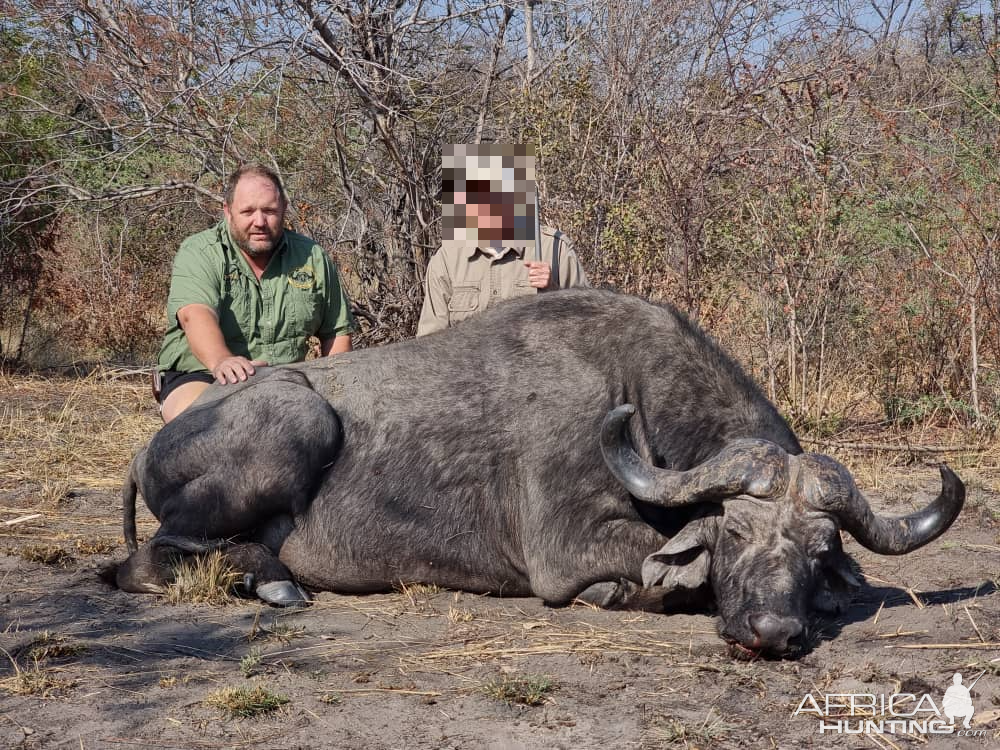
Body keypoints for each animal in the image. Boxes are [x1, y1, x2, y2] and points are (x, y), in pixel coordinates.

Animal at [115, 288, 960, 656]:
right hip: (299, 418)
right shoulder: (571, 549)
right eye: (735, 533)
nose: (773, 631)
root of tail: (147, 448)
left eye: (819, 553)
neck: (634, 392)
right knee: (143, 562)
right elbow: (642, 580)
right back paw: (270, 581)